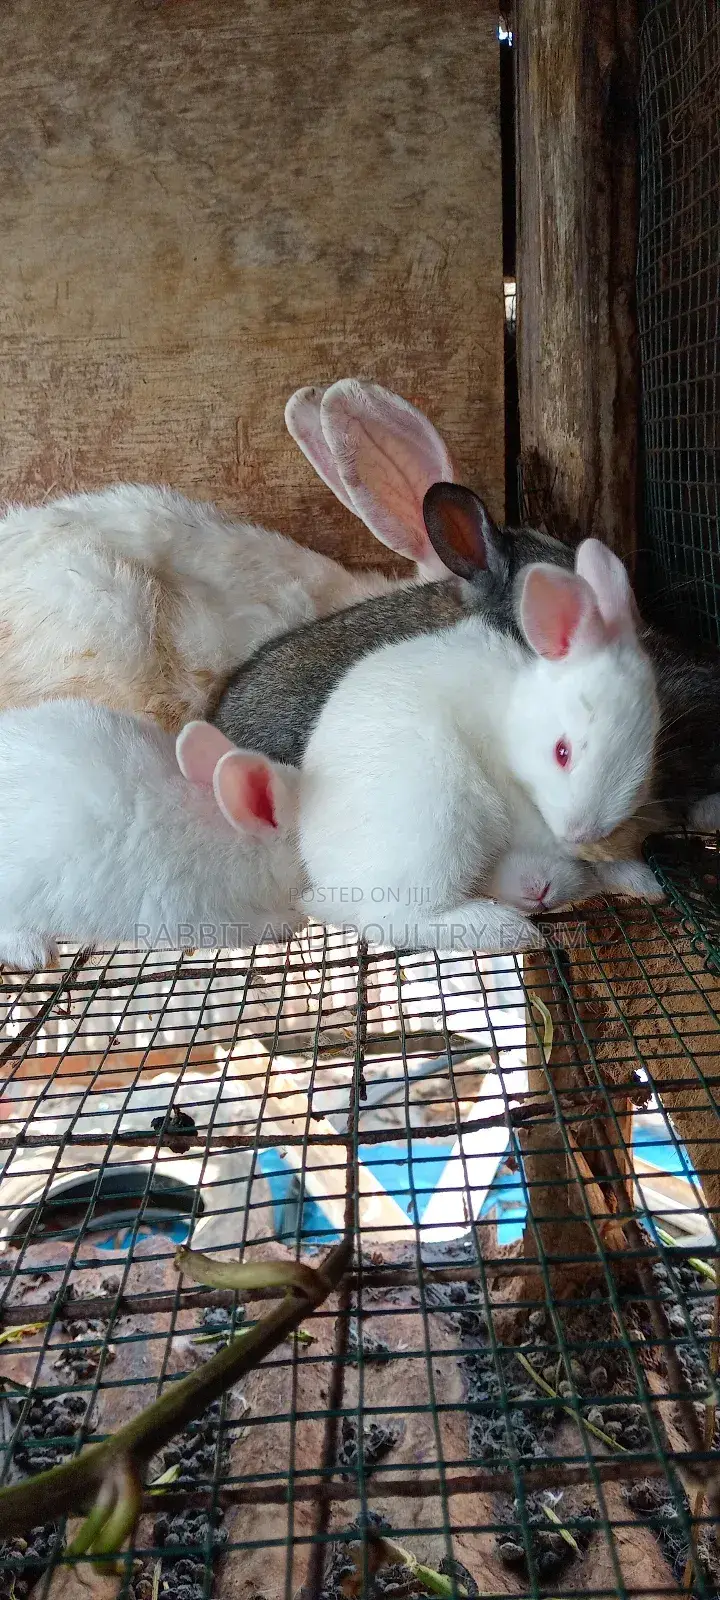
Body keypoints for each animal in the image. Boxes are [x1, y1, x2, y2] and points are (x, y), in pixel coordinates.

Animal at [296, 539, 662, 955]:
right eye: (562, 752)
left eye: (645, 768)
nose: (579, 833)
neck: (507, 721)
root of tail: (327, 884)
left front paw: (644, 883)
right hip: (436, 823)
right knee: (394, 919)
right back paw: (508, 929)